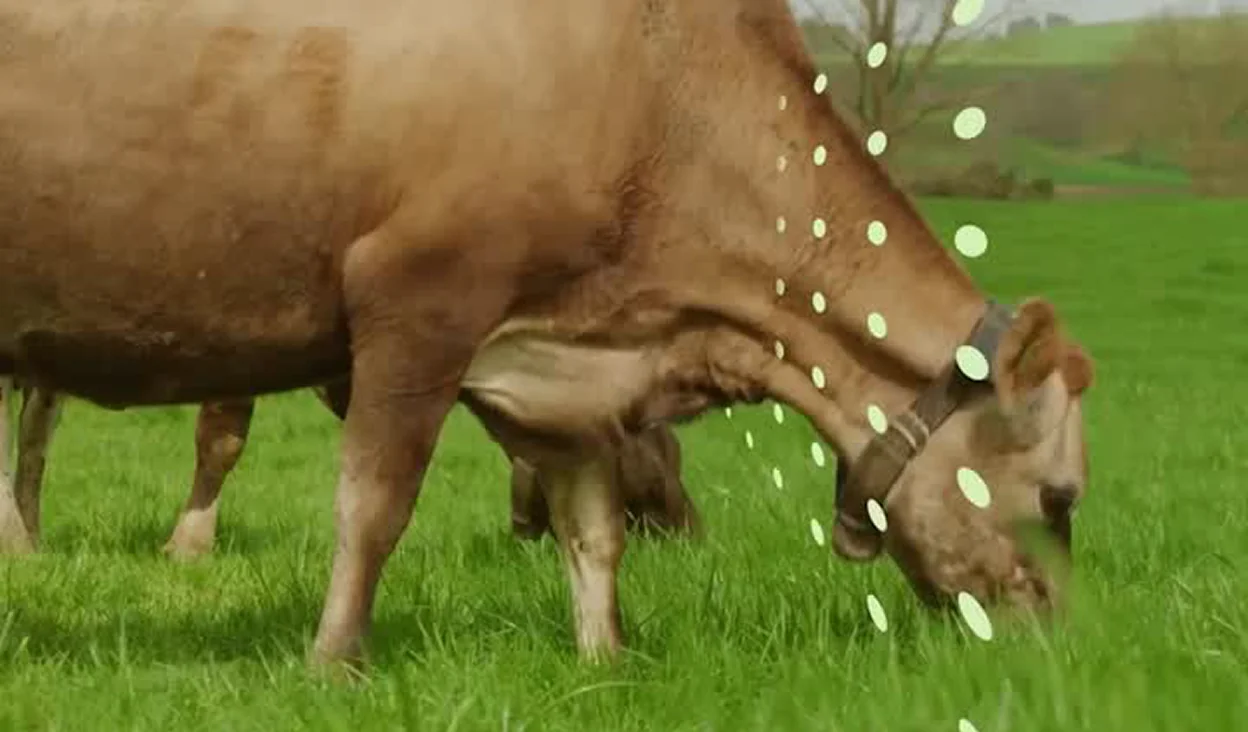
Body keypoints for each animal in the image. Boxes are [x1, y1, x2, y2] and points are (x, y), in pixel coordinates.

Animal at [0, 377, 699, 556]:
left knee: (34, 437)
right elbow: (221, 440)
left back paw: (28, 537)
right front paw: (190, 545)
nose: (696, 533)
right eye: (663, 446)